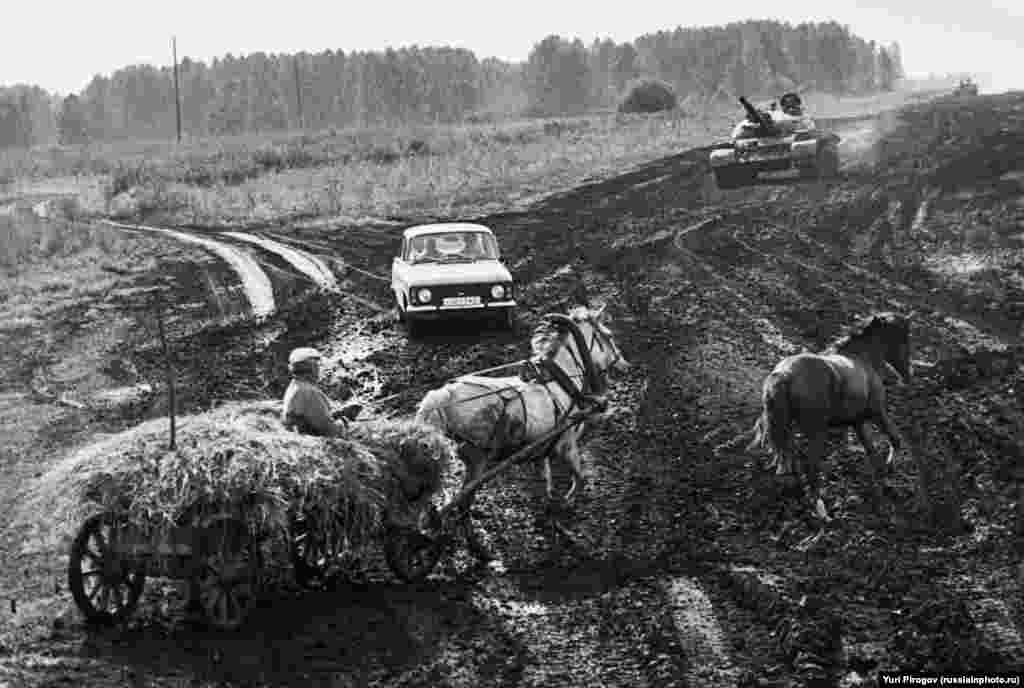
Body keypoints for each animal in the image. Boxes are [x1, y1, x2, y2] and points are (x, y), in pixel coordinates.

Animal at [411, 305, 626, 509]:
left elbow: (545, 479)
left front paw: (549, 502)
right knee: (465, 500)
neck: (562, 379)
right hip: (478, 460)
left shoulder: (542, 449)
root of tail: (446, 394)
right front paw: (566, 502)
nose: (624, 363)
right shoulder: (567, 444)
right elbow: (579, 478)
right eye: (609, 336)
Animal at [745, 313, 913, 522]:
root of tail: (784, 374)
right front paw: (889, 470)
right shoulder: (877, 413)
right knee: (810, 466)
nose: (907, 375)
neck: (861, 357)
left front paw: (883, 481)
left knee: (790, 461)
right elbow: (895, 439)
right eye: (904, 337)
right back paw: (822, 512)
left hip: (789, 429)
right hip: (816, 431)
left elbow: (872, 451)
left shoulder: (857, 423)